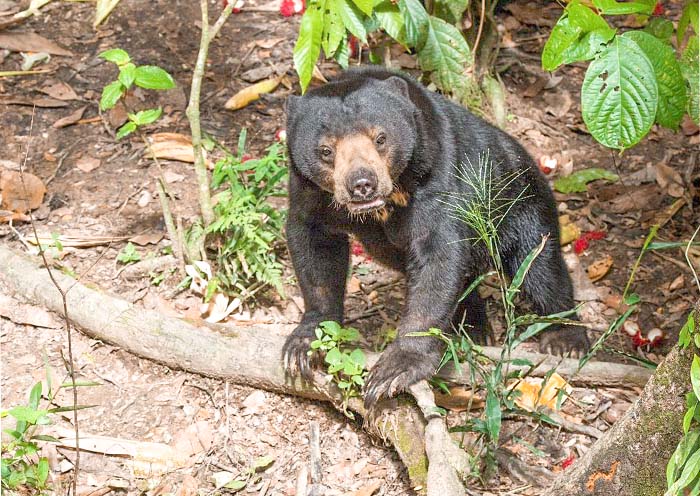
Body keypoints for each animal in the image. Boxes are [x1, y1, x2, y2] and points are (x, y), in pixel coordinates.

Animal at [282, 67, 590, 409]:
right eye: (325, 150)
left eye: (381, 138)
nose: (362, 184)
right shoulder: (309, 191)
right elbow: (315, 247)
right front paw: (303, 346)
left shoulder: (436, 175)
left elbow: (438, 259)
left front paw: (395, 369)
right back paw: (473, 326)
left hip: (519, 203)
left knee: (539, 267)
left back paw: (565, 339)